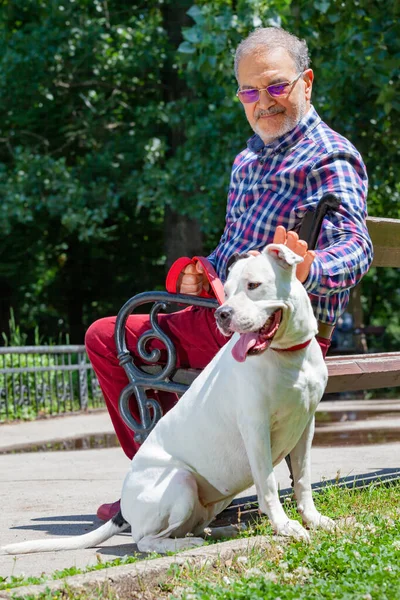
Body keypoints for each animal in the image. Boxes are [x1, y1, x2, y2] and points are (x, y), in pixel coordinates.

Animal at [3, 243, 334, 552]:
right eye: (226, 292)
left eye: (253, 285)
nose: (222, 313)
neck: (288, 355)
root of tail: (124, 507)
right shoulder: (256, 430)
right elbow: (268, 484)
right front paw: (285, 526)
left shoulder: (305, 426)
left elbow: (302, 479)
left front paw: (314, 519)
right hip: (180, 481)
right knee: (147, 541)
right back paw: (186, 544)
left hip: (213, 496)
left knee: (193, 526)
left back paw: (223, 530)